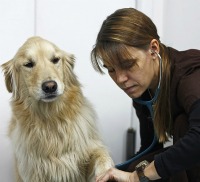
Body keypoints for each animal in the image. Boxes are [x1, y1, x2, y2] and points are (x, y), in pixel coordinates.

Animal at [1, 36, 113, 181]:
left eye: (55, 60)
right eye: (28, 64)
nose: (50, 86)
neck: (51, 119)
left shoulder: (87, 147)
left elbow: (100, 154)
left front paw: (105, 172)